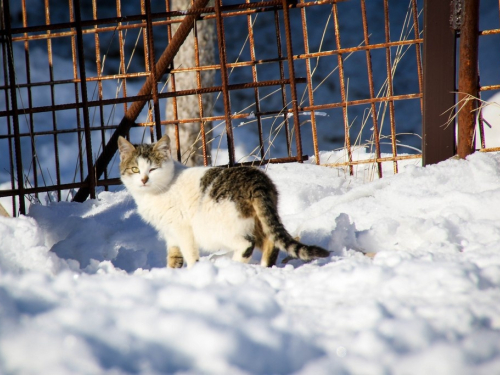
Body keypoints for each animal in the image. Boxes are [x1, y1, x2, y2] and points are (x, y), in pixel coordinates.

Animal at [115, 134, 330, 268]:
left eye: (152, 169)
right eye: (135, 169)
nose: (144, 179)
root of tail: (255, 178)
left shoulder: (182, 228)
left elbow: (190, 254)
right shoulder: (170, 232)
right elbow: (174, 256)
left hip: (219, 227)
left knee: (247, 244)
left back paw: (233, 267)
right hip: (258, 220)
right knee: (270, 241)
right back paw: (263, 267)